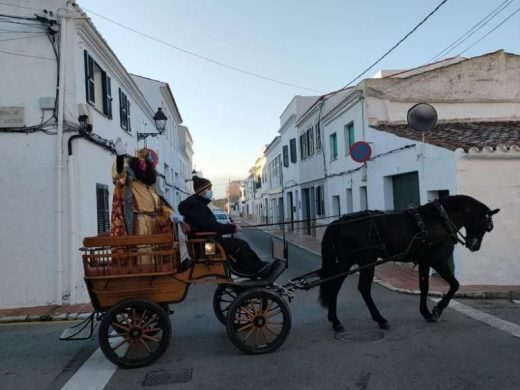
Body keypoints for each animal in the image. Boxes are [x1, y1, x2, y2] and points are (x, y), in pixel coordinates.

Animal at [316, 195, 500, 332]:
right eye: (487, 225)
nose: (474, 246)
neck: (440, 220)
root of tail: (339, 223)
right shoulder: (437, 260)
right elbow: (454, 284)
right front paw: (437, 309)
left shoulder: (424, 260)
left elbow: (424, 286)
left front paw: (426, 313)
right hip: (366, 260)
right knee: (363, 288)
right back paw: (380, 319)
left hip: (344, 263)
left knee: (334, 286)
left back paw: (336, 321)